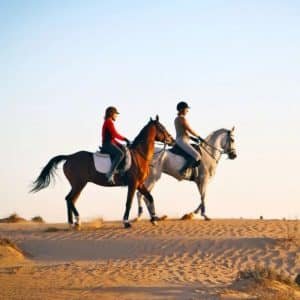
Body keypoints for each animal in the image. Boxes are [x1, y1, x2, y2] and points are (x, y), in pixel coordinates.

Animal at [30, 116, 173, 229]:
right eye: (162, 127)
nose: (172, 140)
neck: (139, 155)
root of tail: (70, 157)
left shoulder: (139, 184)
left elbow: (150, 197)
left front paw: (154, 219)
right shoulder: (133, 184)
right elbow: (129, 202)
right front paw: (126, 222)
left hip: (78, 185)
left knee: (70, 200)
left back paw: (73, 223)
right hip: (79, 184)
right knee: (70, 199)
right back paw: (77, 222)